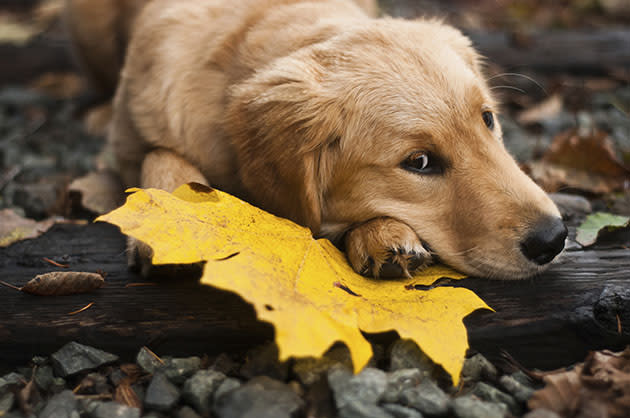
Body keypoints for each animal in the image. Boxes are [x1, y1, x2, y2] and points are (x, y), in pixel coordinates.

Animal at [68, 0, 568, 280]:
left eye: (488, 120)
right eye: (420, 162)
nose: (554, 239)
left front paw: (382, 234)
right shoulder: (134, 134)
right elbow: (160, 157)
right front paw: (174, 224)